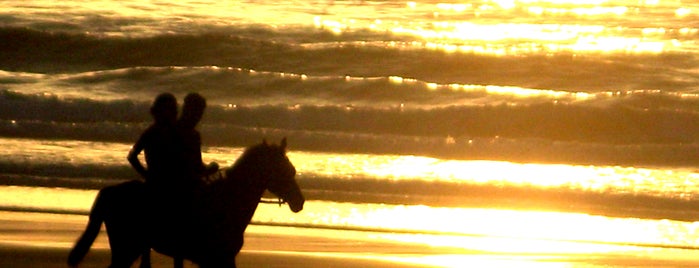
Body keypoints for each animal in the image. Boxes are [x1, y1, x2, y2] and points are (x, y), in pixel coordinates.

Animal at [67, 139, 304, 266]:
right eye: (284, 171)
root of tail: (109, 192)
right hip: (127, 247)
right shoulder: (218, 259)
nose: (299, 202)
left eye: (292, 170)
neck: (226, 203)